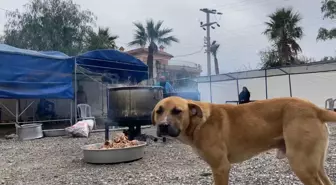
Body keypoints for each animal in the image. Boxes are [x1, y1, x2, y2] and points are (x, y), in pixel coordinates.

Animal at [153, 97, 336, 185]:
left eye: (177, 111)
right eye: (158, 111)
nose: (163, 126)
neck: (199, 123)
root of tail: (315, 108)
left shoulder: (221, 168)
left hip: (301, 164)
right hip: (315, 165)